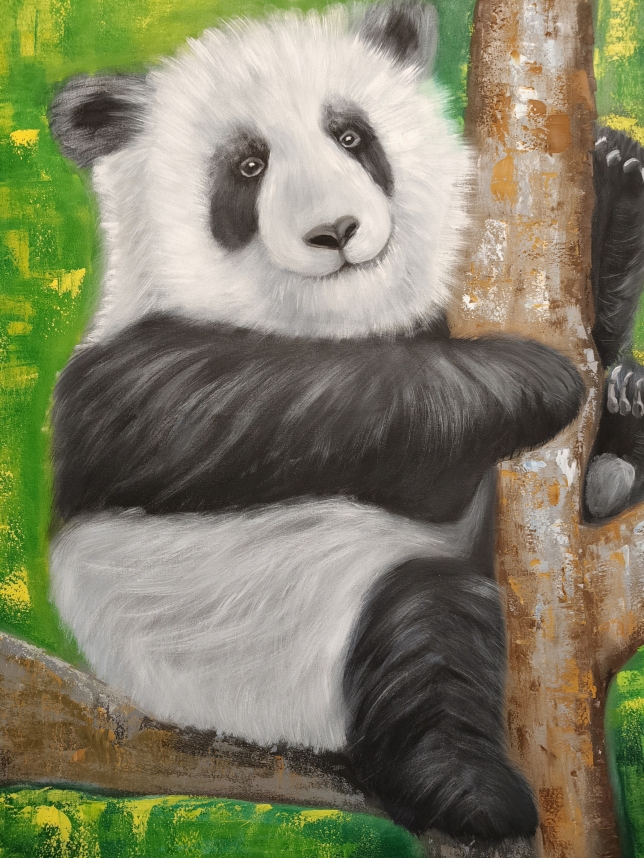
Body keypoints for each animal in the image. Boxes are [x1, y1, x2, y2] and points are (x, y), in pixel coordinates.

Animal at [47, 1, 588, 840]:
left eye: (351, 136)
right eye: (247, 167)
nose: (335, 232)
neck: (327, 316)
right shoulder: (124, 384)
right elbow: (285, 402)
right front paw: (536, 379)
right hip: (270, 650)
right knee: (426, 629)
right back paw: (470, 791)